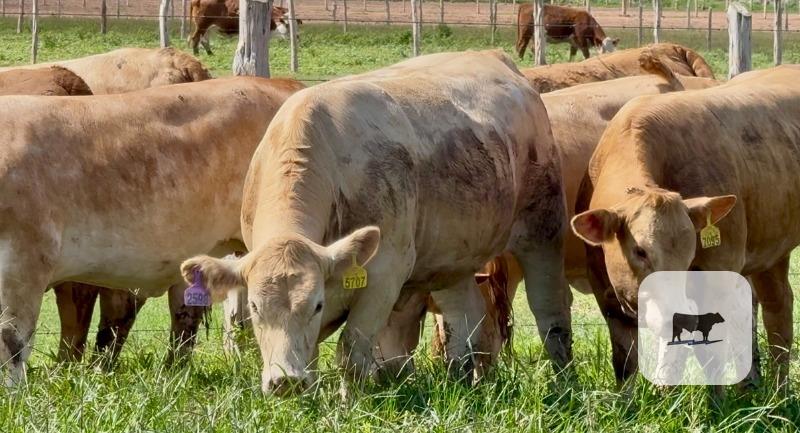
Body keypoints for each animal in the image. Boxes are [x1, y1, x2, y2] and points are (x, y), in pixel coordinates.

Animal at [180, 50, 572, 395]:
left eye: (317, 304)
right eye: (256, 308)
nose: (284, 382)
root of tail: (498, 59)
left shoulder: (386, 274)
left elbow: (351, 351)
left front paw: (345, 404)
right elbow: (311, 351)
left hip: (542, 229)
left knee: (551, 312)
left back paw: (563, 384)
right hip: (452, 258)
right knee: (465, 317)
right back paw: (463, 382)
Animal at [571, 64, 800, 387]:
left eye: (690, 254)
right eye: (640, 251)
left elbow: (702, 356)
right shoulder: (607, 294)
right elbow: (626, 362)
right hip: (770, 252)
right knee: (774, 307)